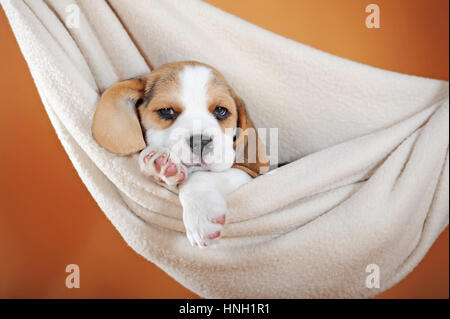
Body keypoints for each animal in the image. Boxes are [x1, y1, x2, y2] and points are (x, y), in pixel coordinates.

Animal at [91, 61, 268, 249]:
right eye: (167, 111)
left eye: (221, 111)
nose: (200, 142)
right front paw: (161, 164)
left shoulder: (249, 176)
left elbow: (199, 178)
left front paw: (200, 215)